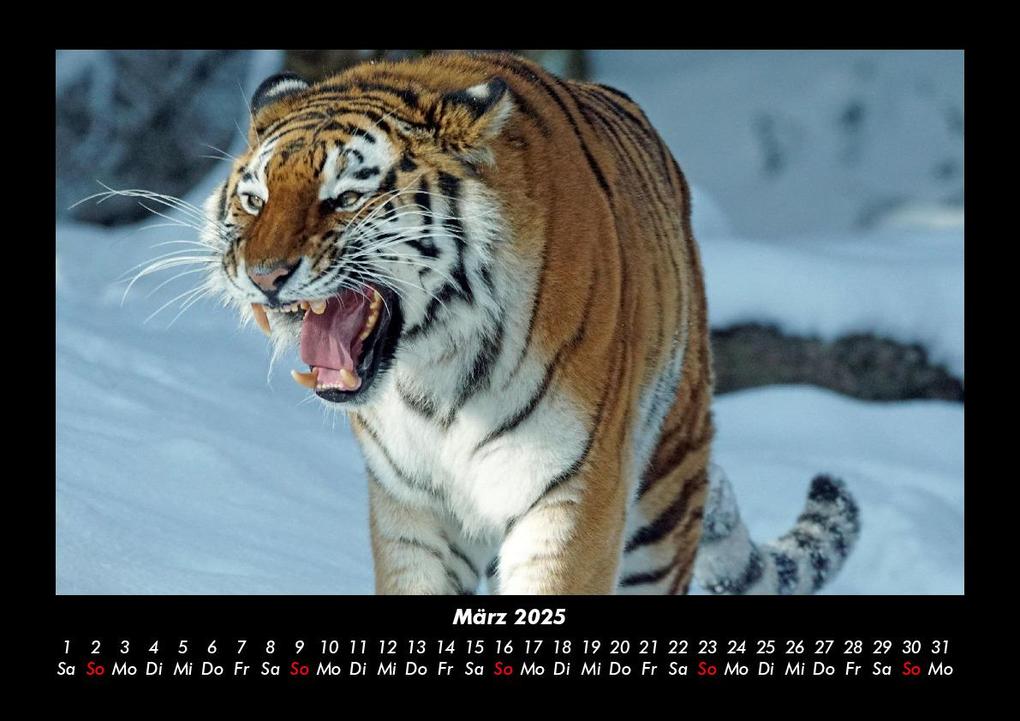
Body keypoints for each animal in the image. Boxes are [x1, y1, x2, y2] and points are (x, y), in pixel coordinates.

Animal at [198, 51, 861, 594]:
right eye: (254, 201)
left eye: (344, 199)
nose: (262, 275)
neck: (433, 372)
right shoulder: (412, 509)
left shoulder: (572, 495)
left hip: (665, 495)